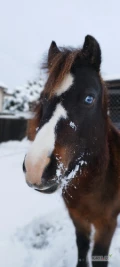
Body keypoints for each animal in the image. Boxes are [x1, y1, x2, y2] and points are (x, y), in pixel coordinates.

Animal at [23, 35, 120, 266]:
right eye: (43, 98)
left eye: (89, 98)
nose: (36, 167)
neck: (91, 187)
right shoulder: (78, 219)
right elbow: (82, 249)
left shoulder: (107, 225)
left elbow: (98, 256)